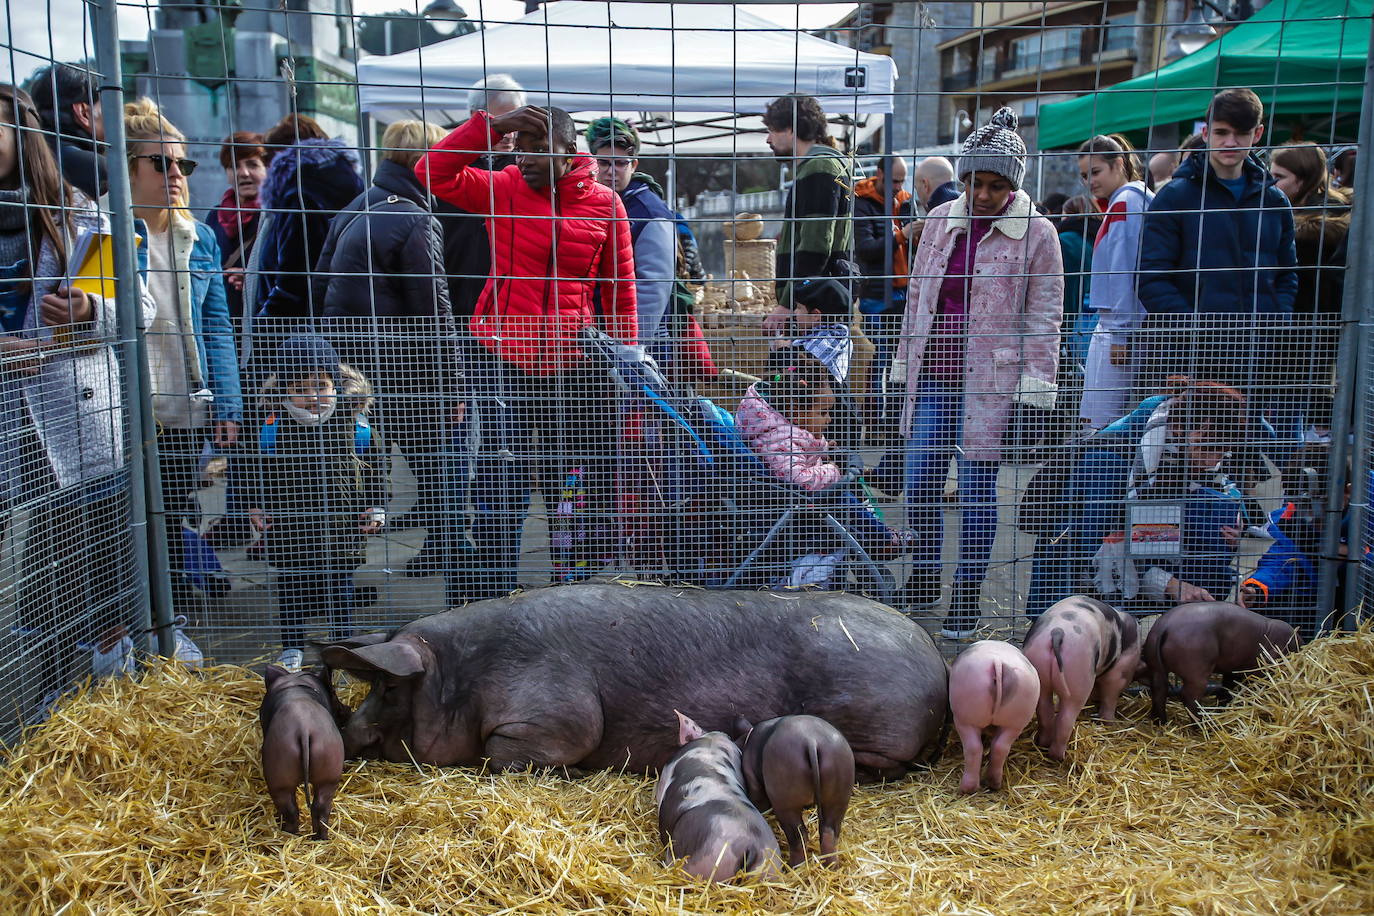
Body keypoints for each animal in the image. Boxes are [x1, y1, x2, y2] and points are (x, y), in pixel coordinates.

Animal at [317, 587, 950, 780]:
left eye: (389, 690)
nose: (344, 733)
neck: (462, 677)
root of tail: (938, 665)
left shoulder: (556, 717)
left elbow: (512, 753)